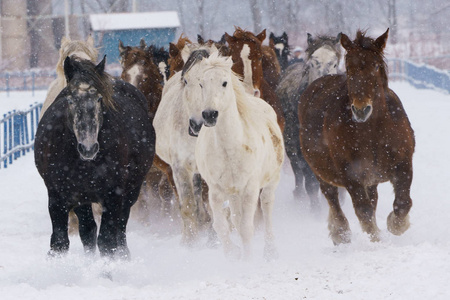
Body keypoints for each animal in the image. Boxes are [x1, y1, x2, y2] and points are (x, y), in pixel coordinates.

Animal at [34, 55, 155, 258]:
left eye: (99, 99)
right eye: (71, 100)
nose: (88, 148)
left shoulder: (113, 196)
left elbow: (107, 241)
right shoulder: (58, 197)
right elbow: (59, 243)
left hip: (131, 191)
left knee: (120, 227)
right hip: (82, 200)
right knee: (88, 231)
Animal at [185, 52, 284, 260]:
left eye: (224, 83)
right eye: (201, 84)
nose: (209, 114)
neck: (230, 148)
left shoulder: (250, 189)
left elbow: (246, 228)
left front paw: (247, 260)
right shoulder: (216, 190)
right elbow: (221, 226)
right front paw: (233, 255)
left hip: (271, 181)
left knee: (267, 206)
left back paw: (270, 251)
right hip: (233, 193)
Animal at [298, 28, 414, 245]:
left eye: (375, 66)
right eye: (349, 67)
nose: (361, 110)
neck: (373, 131)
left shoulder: (403, 165)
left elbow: (402, 203)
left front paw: (395, 225)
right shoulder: (350, 175)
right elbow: (364, 211)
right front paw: (376, 239)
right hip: (321, 172)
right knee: (331, 198)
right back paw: (340, 233)